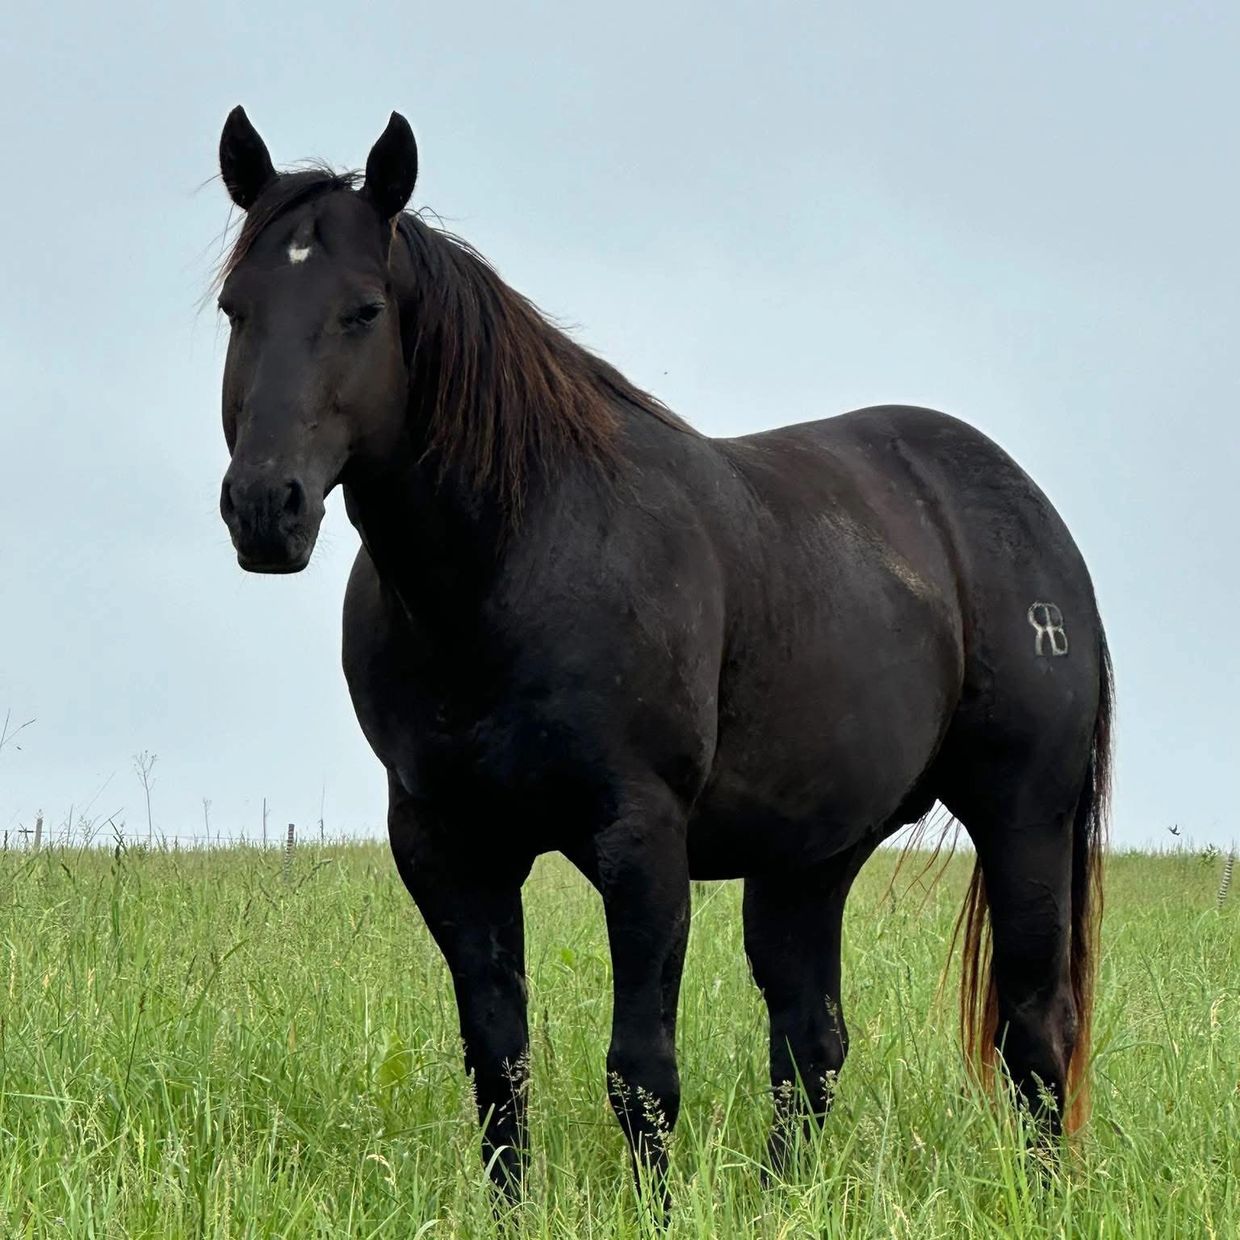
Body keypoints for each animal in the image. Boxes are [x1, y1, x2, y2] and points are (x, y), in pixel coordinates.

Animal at [212, 106, 1112, 1198]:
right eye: (236, 310)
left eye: (364, 310)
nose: (267, 508)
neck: (510, 563)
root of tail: (1026, 509)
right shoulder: (446, 845)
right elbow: (498, 1063)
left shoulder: (640, 840)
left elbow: (639, 1073)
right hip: (810, 857)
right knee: (810, 1041)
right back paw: (781, 1200)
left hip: (1024, 816)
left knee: (1035, 1033)